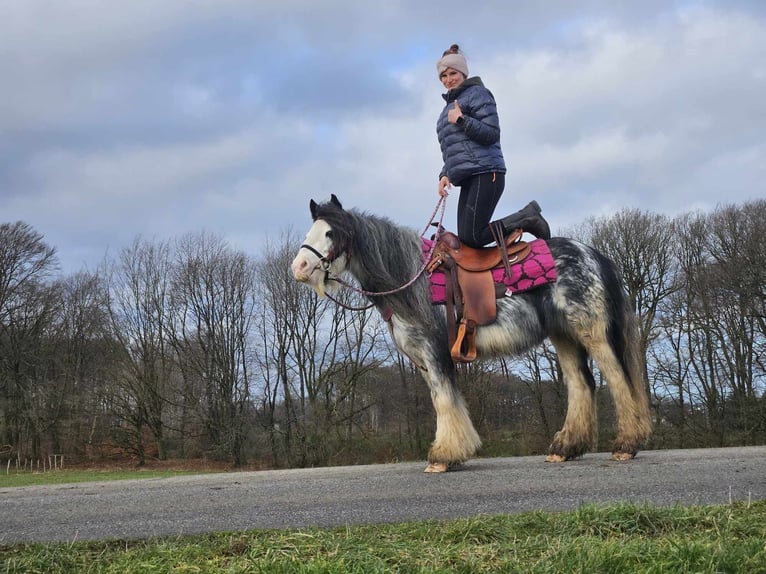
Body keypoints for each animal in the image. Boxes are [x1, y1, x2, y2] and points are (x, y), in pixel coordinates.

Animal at [292, 196, 652, 474]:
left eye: (330, 232)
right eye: (310, 231)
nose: (299, 267)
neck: (412, 279)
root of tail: (594, 255)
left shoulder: (434, 350)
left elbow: (443, 399)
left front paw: (444, 456)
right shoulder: (422, 359)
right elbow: (442, 400)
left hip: (592, 332)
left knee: (618, 379)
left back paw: (625, 444)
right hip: (563, 335)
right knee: (581, 384)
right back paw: (565, 448)